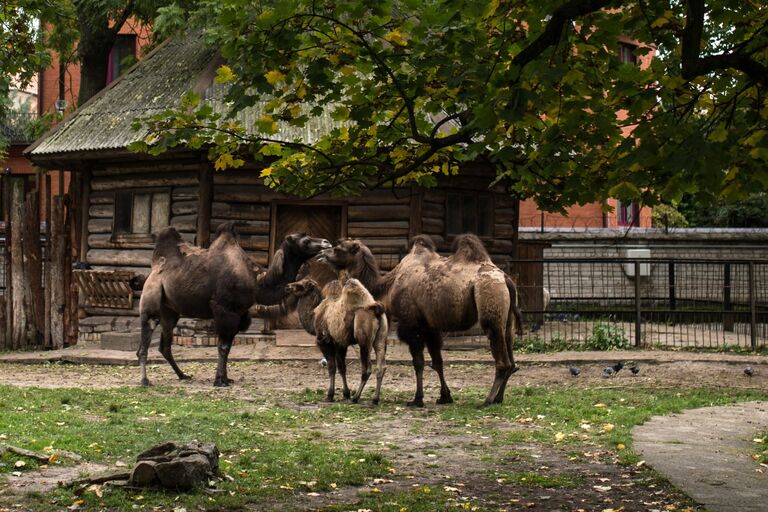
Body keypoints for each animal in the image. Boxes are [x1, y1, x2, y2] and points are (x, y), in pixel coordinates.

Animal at [138, 224, 330, 388]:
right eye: (305, 240)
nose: (326, 242)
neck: (256, 282)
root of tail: (154, 268)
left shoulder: (239, 314)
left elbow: (228, 348)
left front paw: (226, 378)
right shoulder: (225, 310)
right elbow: (222, 347)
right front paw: (219, 381)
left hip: (169, 310)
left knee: (165, 344)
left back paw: (182, 375)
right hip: (151, 297)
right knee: (147, 333)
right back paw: (145, 381)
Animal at [318, 234, 520, 406]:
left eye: (339, 248)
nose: (322, 253)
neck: (388, 286)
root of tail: (505, 279)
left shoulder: (411, 325)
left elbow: (418, 363)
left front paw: (417, 399)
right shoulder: (430, 326)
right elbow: (437, 362)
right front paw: (445, 397)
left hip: (490, 304)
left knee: (502, 360)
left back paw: (487, 400)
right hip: (507, 318)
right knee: (511, 358)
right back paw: (499, 398)